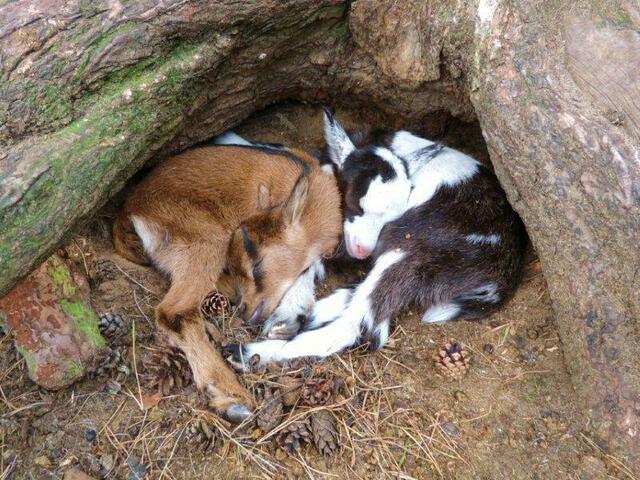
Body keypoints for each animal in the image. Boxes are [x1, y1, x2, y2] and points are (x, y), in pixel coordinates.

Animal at [113, 140, 341, 420]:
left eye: (256, 264)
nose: (245, 312)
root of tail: (129, 211)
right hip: (206, 238)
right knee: (174, 312)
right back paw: (231, 397)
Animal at [229, 110, 527, 365]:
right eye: (354, 203)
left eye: (391, 213)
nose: (363, 251)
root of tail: (501, 280)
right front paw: (289, 313)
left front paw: (285, 314)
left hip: (412, 247)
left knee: (362, 324)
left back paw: (251, 353)